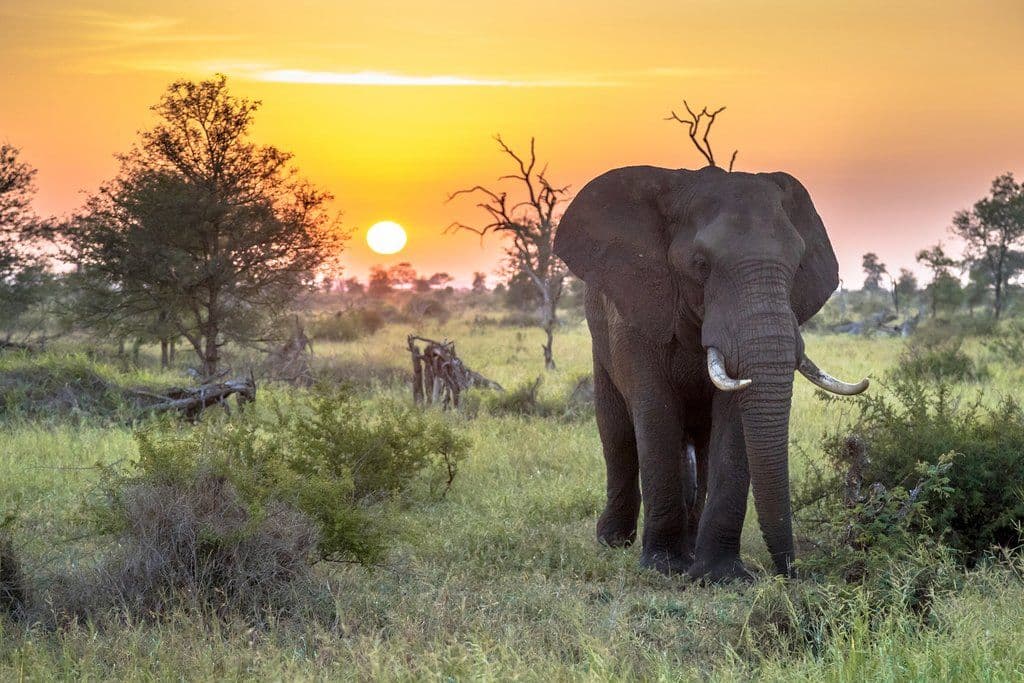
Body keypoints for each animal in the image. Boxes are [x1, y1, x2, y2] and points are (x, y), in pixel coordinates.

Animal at [553, 165, 868, 581]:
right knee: (617, 432)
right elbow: (655, 411)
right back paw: (614, 542)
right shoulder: (638, 311)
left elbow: (733, 422)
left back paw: (690, 548)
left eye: (798, 263)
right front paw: (664, 567)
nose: (791, 571)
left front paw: (720, 576)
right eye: (701, 265)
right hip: (599, 342)